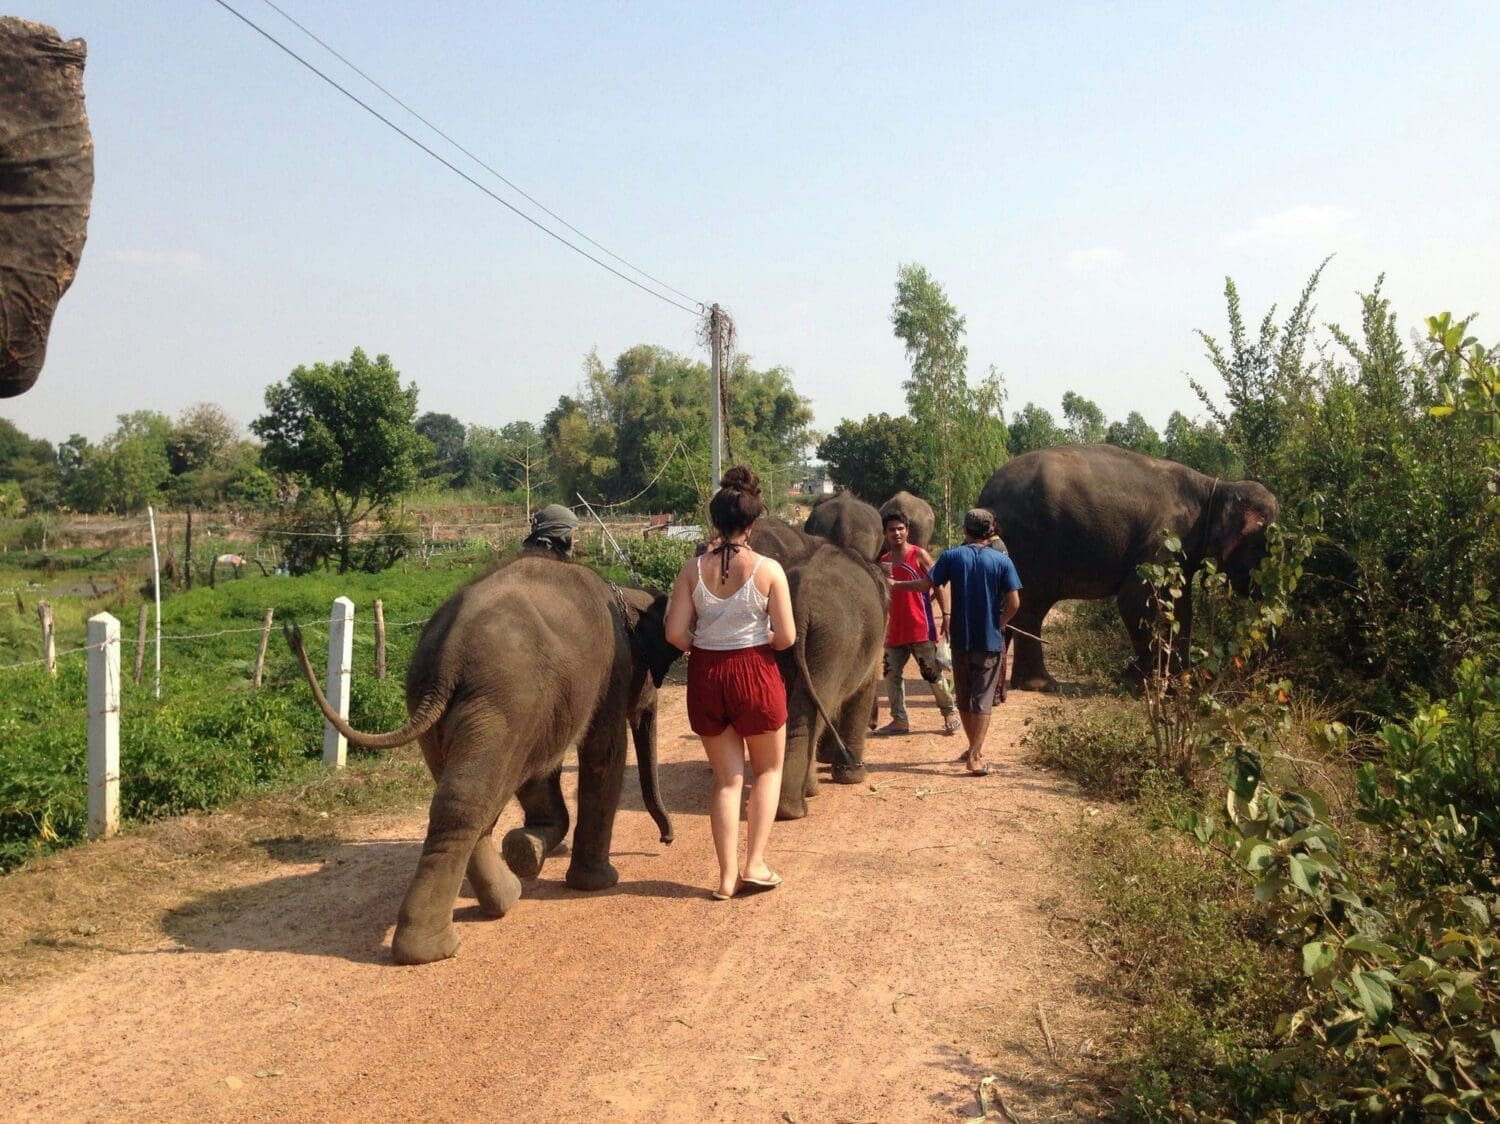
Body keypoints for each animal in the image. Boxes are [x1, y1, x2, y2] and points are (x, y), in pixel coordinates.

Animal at [285, 558, 681, 966]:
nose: (666, 840)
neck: (622, 594)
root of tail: (447, 656)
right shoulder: (610, 674)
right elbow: (603, 753)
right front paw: (597, 882)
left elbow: (540, 769)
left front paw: (528, 849)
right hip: (503, 700)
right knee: (474, 797)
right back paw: (435, 947)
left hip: (463, 706)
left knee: (463, 798)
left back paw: (501, 897)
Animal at [747, 516, 882, 816]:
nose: (876, 725)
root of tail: (800, 600)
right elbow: (863, 689)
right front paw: (853, 777)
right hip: (834, 639)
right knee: (815, 706)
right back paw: (795, 806)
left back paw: (794, 801)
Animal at [978, 444, 1284, 687]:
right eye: (1264, 548)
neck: (1214, 488)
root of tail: (986, 497)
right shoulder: (1165, 538)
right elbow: (1137, 601)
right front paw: (1138, 684)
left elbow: (1180, 607)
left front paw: (1180, 684)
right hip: (1031, 546)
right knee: (1031, 608)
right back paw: (1042, 685)